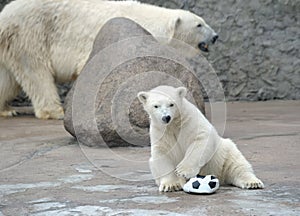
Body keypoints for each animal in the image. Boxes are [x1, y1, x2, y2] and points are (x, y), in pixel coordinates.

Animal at [0, 0, 217, 119]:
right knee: (36, 73)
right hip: (31, 34)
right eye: (199, 24)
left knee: (8, 79)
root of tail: (4, 16)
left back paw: (7, 110)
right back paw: (55, 111)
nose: (215, 36)